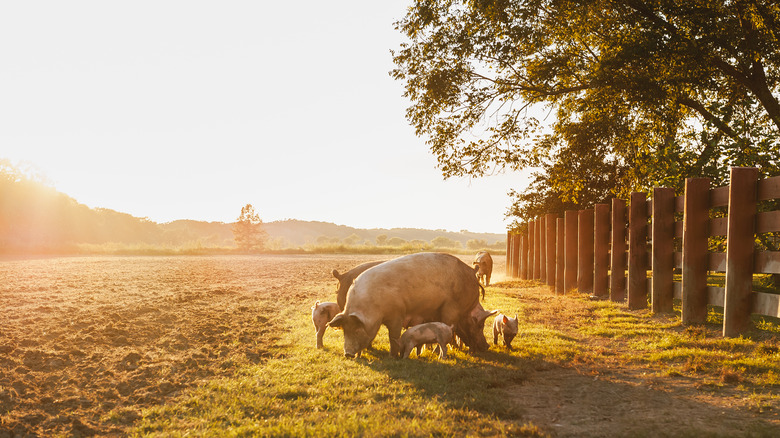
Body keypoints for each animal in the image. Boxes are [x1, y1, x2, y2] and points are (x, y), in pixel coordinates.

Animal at [328, 252, 494, 358]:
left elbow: (393, 335)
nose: (348, 354)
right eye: (345, 330)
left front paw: (393, 356)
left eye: (357, 329)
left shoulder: (397, 314)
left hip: (449, 309)